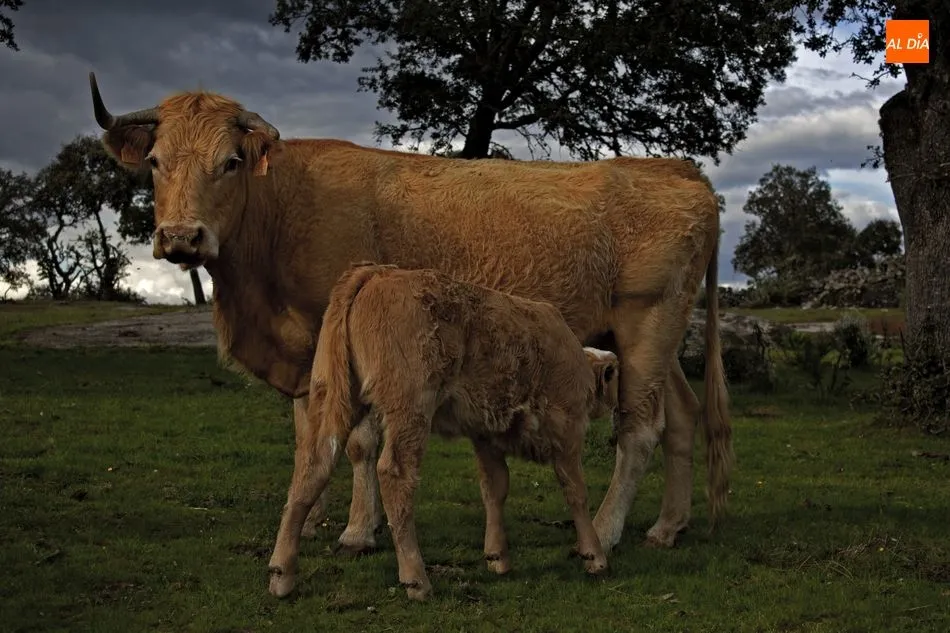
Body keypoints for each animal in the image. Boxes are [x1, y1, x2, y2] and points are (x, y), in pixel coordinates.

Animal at [268, 262, 622, 600]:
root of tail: (376, 273)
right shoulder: (568, 432)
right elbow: (575, 492)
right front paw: (595, 557)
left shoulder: (486, 435)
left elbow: (495, 489)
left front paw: (498, 557)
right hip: (410, 410)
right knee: (394, 474)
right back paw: (417, 580)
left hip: (334, 397)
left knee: (313, 466)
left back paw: (282, 574)